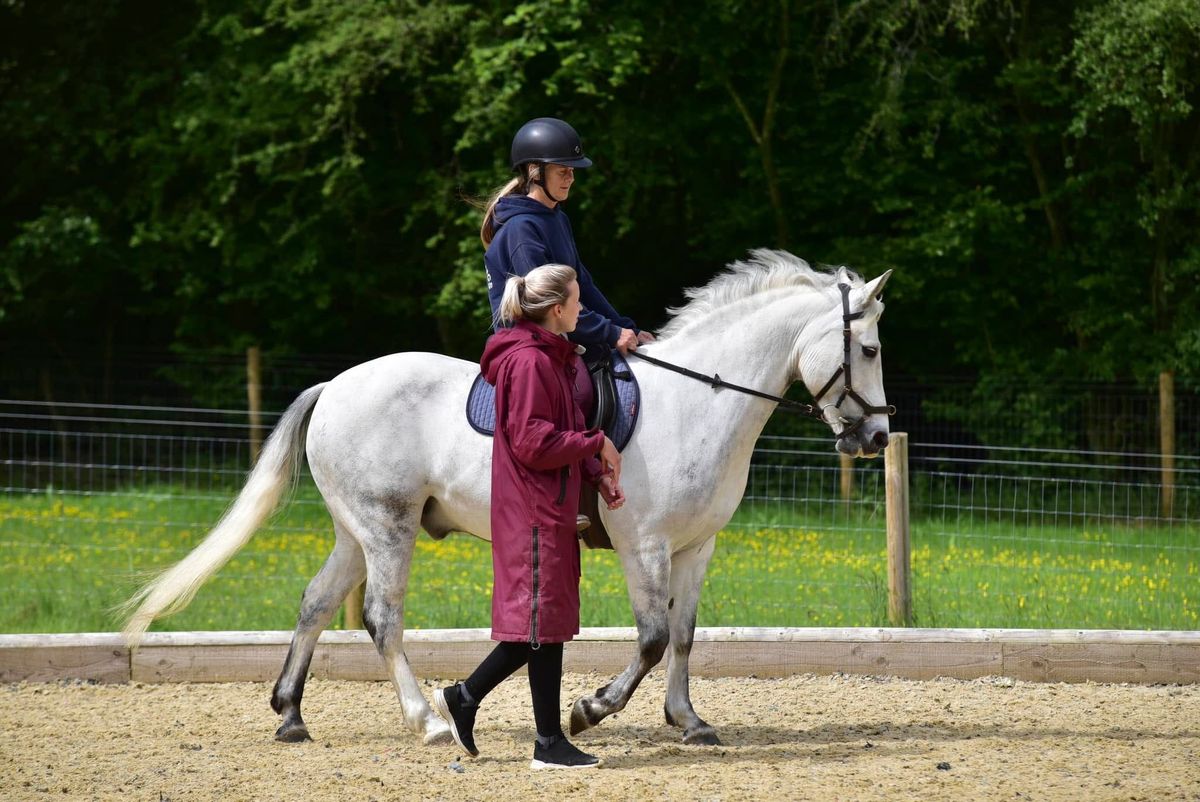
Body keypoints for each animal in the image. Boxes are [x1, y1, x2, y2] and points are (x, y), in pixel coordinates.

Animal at [124, 248, 892, 744]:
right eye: (871, 350)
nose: (877, 437)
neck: (700, 400)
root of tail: (336, 384)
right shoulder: (642, 544)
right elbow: (648, 639)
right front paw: (590, 709)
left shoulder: (696, 547)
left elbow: (683, 635)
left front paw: (688, 720)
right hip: (388, 526)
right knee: (380, 617)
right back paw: (428, 720)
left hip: (355, 530)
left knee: (316, 603)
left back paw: (290, 714)